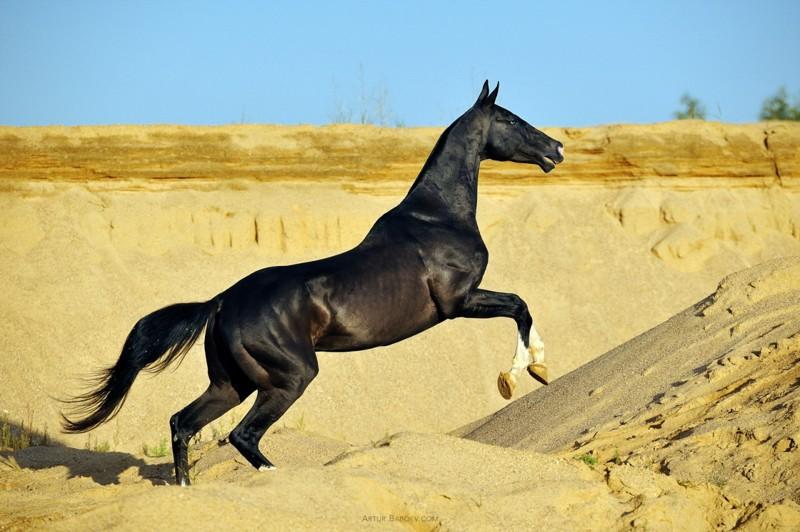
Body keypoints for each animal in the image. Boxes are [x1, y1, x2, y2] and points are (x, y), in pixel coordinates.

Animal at [62, 81, 564, 486]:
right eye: (510, 119)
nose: (556, 148)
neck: (436, 217)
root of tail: (222, 302)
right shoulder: (459, 302)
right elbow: (520, 305)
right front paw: (522, 374)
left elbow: (521, 307)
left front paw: (536, 370)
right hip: (290, 377)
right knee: (242, 435)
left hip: (231, 384)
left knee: (183, 423)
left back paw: (186, 490)